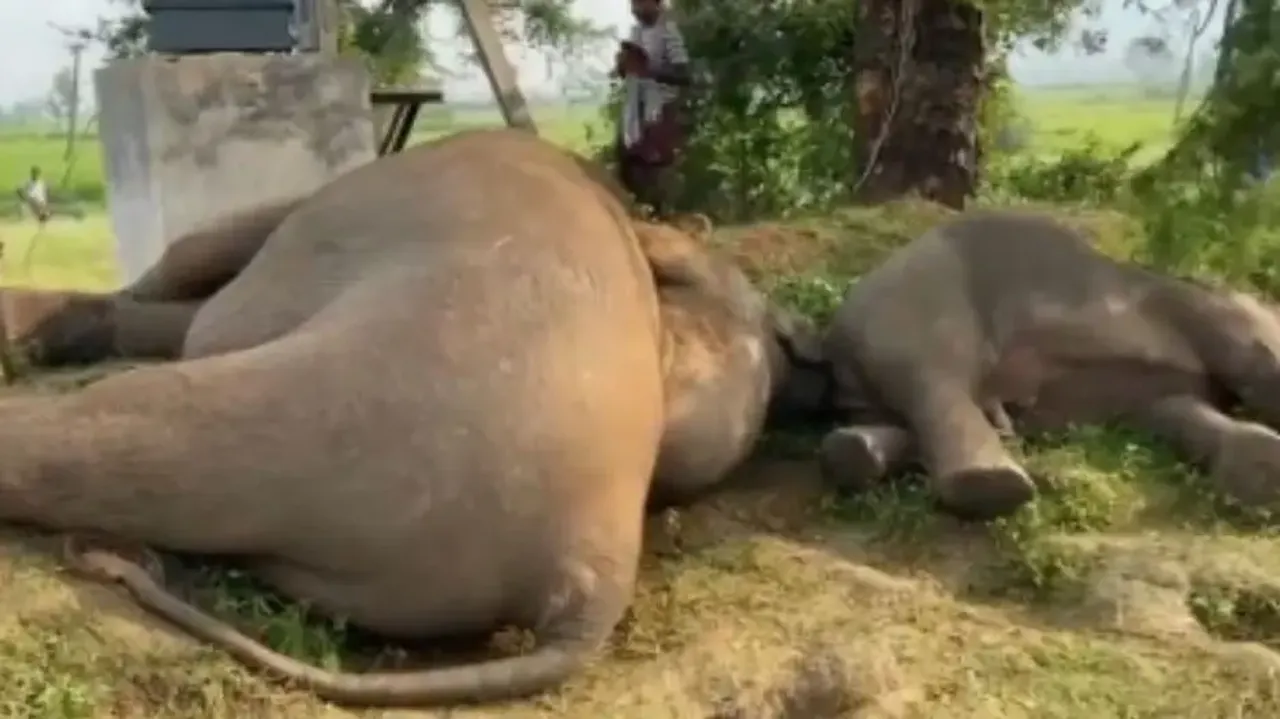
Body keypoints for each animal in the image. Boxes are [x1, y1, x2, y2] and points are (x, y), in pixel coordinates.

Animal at [816, 210, 1280, 520]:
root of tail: (840, 332)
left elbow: (1178, 409)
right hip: (928, 300)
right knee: (934, 380)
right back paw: (994, 487)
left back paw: (856, 452)